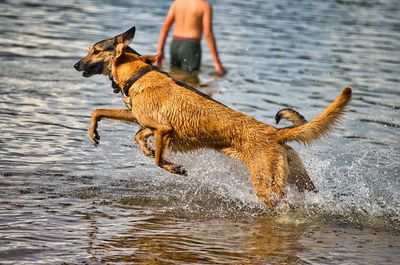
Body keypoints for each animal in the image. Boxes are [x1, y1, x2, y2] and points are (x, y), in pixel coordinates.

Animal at [73, 27, 352, 208]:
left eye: (95, 51)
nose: (76, 65)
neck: (138, 73)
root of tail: (274, 132)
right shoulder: (141, 120)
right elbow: (104, 115)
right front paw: (97, 134)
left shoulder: (163, 128)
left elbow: (159, 159)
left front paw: (174, 167)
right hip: (298, 178)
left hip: (266, 185)